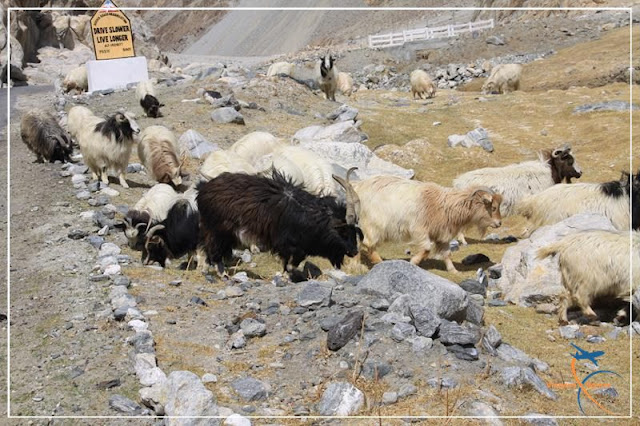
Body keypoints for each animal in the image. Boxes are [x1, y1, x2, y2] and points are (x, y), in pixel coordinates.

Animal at [198, 168, 362, 274]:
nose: (354, 251)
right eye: (343, 232)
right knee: (213, 248)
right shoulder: (287, 244)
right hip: (219, 230)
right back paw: (220, 273)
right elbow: (290, 262)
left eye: (355, 231)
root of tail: (202, 190)